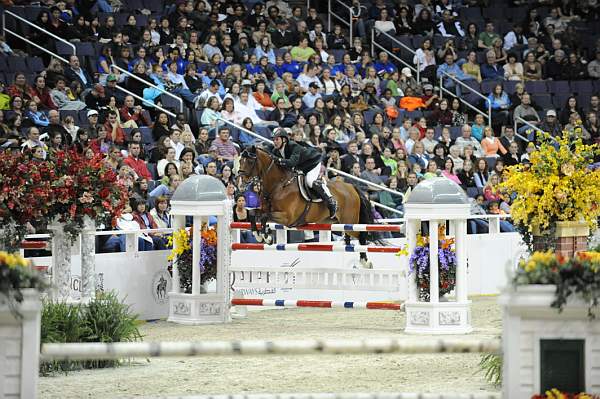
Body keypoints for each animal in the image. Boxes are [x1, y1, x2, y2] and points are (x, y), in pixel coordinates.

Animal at [238, 145, 376, 268]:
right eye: (239, 160)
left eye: (250, 161)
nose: (239, 182)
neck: (278, 185)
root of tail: (352, 187)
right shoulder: (265, 209)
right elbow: (253, 214)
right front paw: (258, 234)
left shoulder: (287, 217)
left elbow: (264, 216)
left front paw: (266, 237)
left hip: (350, 222)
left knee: (361, 236)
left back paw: (365, 262)